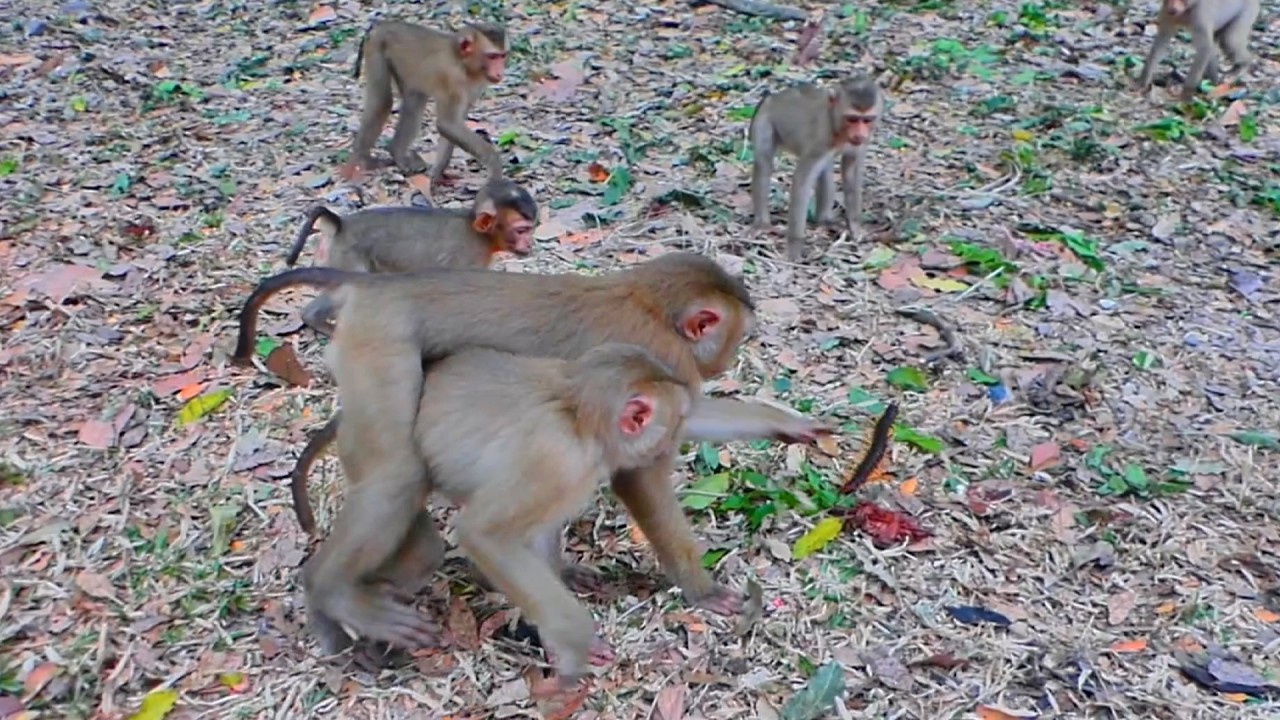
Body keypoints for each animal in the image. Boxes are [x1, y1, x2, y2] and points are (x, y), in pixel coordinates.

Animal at [230, 253, 830, 653]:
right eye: (736, 335)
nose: (729, 357)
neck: (647, 303)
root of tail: (375, 287)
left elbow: (688, 415)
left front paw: (783, 423)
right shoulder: (659, 357)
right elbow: (641, 472)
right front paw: (700, 587)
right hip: (377, 350)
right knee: (396, 474)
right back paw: (332, 591)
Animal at [283, 178, 537, 335]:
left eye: (531, 229)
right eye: (522, 231)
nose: (530, 243)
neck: (479, 235)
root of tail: (341, 224)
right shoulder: (469, 261)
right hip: (347, 256)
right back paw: (315, 318)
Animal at [350, 20, 507, 183]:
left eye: (502, 56)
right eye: (492, 57)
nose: (499, 73)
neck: (463, 63)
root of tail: (382, 24)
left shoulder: (475, 86)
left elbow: (453, 125)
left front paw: (437, 174)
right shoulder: (452, 78)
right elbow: (448, 124)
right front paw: (494, 162)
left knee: (414, 99)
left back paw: (396, 152)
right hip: (377, 46)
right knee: (383, 101)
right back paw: (364, 159)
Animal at [749, 75, 882, 262]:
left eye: (867, 120)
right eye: (852, 119)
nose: (860, 133)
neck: (835, 123)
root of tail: (772, 96)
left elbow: (851, 171)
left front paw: (856, 226)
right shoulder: (821, 138)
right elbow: (802, 181)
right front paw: (794, 248)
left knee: (824, 170)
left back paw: (823, 220)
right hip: (764, 120)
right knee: (764, 163)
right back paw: (762, 223)